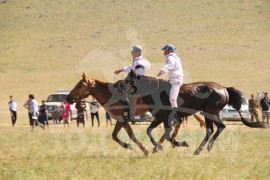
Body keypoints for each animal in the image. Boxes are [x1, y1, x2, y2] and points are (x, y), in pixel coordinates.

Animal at [116, 71, 270, 155]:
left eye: (127, 80)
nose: (119, 90)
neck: (156, 93)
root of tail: (224, 89)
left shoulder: (166, 119)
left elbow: (166, 135)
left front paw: (180, 143)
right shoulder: (159, 118)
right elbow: (150, 131)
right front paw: (157, 147)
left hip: (211, 113)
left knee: (219, 127)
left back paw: (205, 147)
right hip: (208, 114)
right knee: (212, 129)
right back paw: (200, 149)